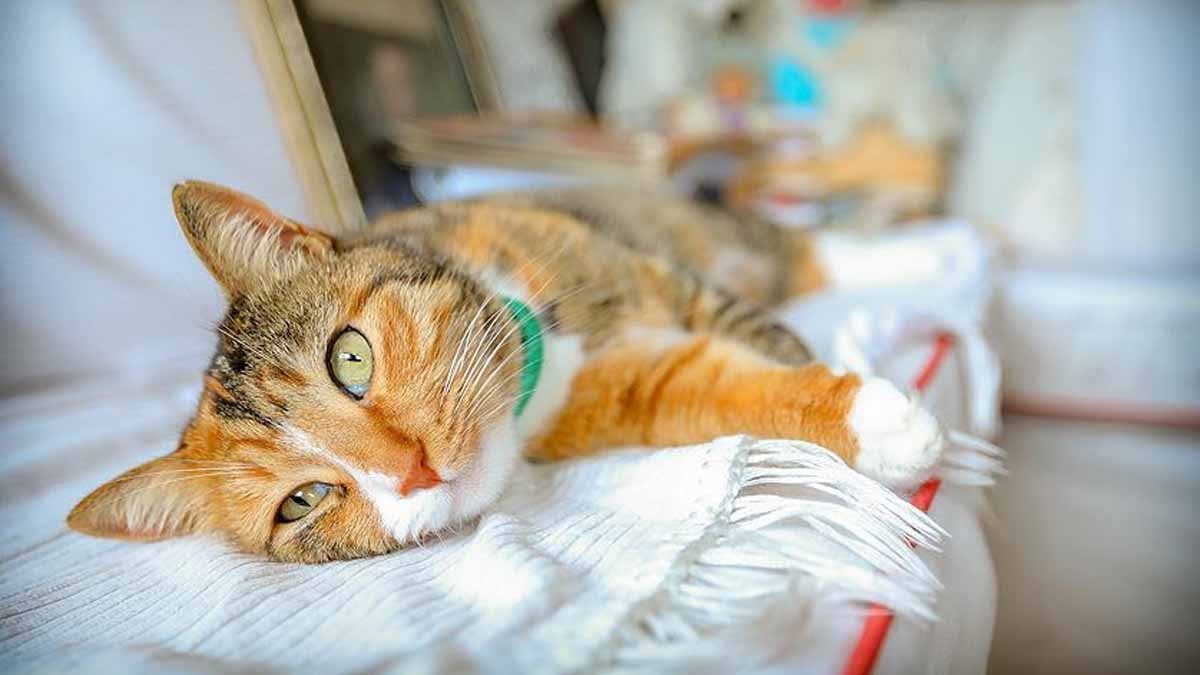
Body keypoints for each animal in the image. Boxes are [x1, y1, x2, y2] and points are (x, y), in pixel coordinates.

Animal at [67, 181, 944, 563]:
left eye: (350, 357)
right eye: (303, 501)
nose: (414, 471)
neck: (529, 341)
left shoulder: (653, 277)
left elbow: (755, 327)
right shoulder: (625, 394)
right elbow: (713, 387)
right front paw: (866, 423)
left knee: (798, 247)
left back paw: (939, 245)